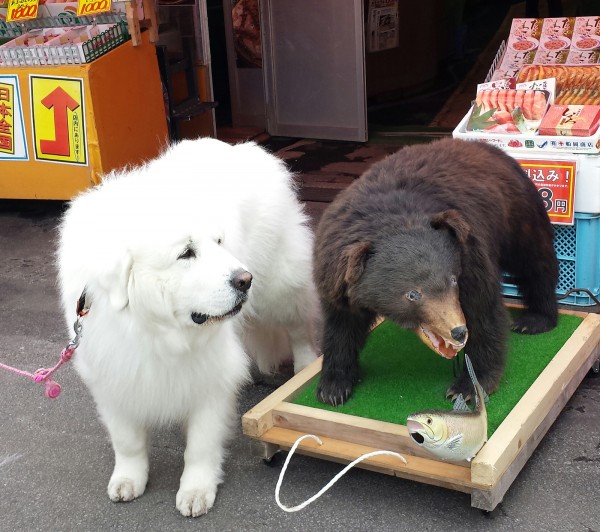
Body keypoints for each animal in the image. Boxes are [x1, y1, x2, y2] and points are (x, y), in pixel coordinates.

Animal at [56, 137, 318, 516]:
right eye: (186, 253)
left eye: (219, 242)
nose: (245, 280)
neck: (152, 329)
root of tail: (245, 148)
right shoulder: (114, 373)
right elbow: (127, 441)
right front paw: (128, 478)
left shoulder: (211, 375)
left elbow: (200, 444)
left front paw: (196, 490)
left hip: (281, 287)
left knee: (298, 326)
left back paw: (304, 364)